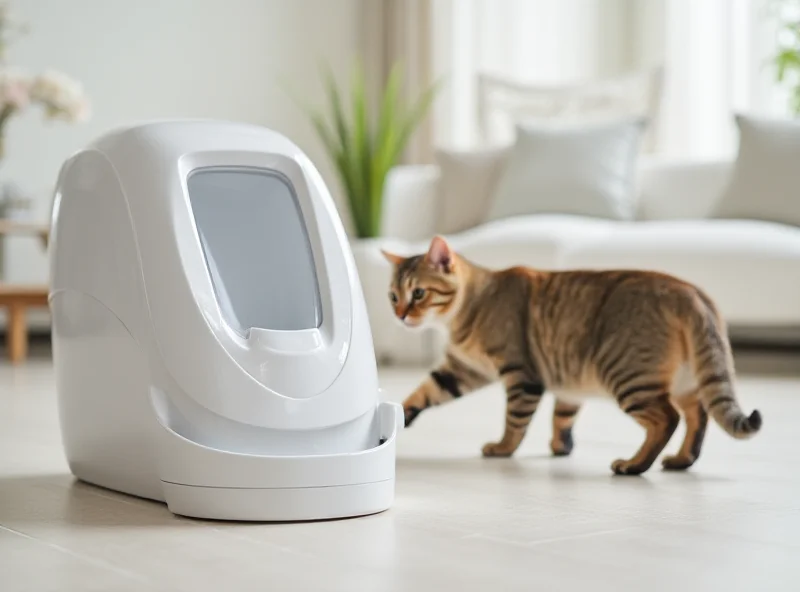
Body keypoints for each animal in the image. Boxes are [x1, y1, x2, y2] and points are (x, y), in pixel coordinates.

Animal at [382, 234, 764, 474]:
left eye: (418, 293)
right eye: (393, 296)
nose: (399, 315)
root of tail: (692, 292)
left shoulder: (519, 375)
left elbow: (514, 422)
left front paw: (503, 448)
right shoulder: (464, 369)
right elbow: (424, 391)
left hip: (628, 377)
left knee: (666, 419)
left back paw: (633, 465)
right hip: (686, 379)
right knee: (698, 414)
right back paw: (681, 459)